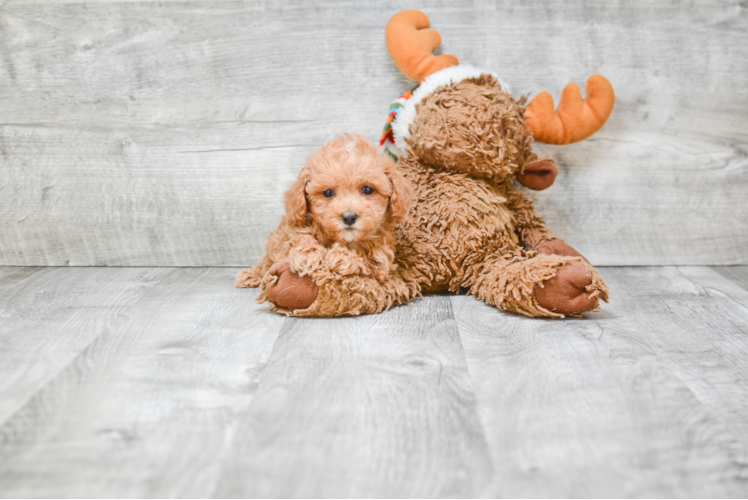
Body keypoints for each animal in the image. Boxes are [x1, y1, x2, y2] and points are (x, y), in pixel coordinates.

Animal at [234, 133, 412, 312]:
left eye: (367, 190)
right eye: (327, 193)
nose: (349, 217)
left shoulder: (381, 264)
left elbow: (365, 260)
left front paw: (338, 257)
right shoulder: (293, 231)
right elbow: (299, 238)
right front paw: (307, 256)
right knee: (266, 262)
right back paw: (249, 275)